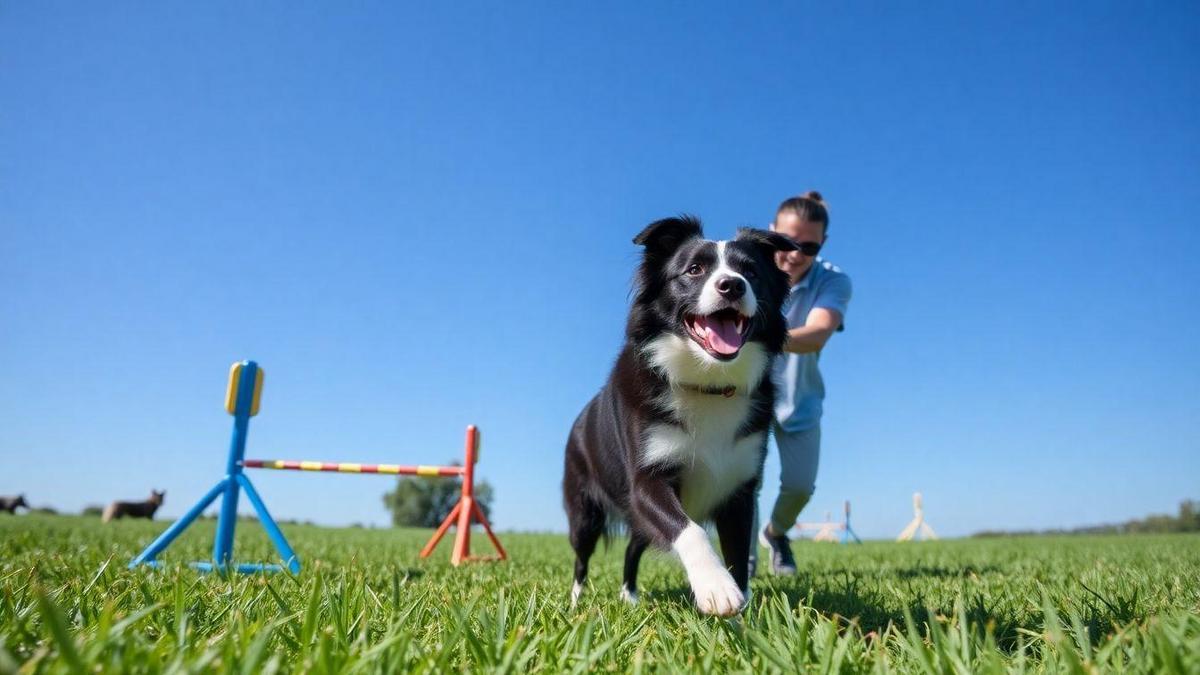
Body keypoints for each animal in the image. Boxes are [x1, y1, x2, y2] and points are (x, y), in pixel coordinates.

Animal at [561, 216, 796, 614]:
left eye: (751, 271)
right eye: (694, 270)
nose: (733, 285)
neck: (709, 383)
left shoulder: (740, 490)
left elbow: (738, 556)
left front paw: (743, 616)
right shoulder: (646, 481)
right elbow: (690, 529)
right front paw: (716, 588)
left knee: (632, 548)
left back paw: (630, 597)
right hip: (584, 509)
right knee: (581, 558)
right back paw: (576, 604)